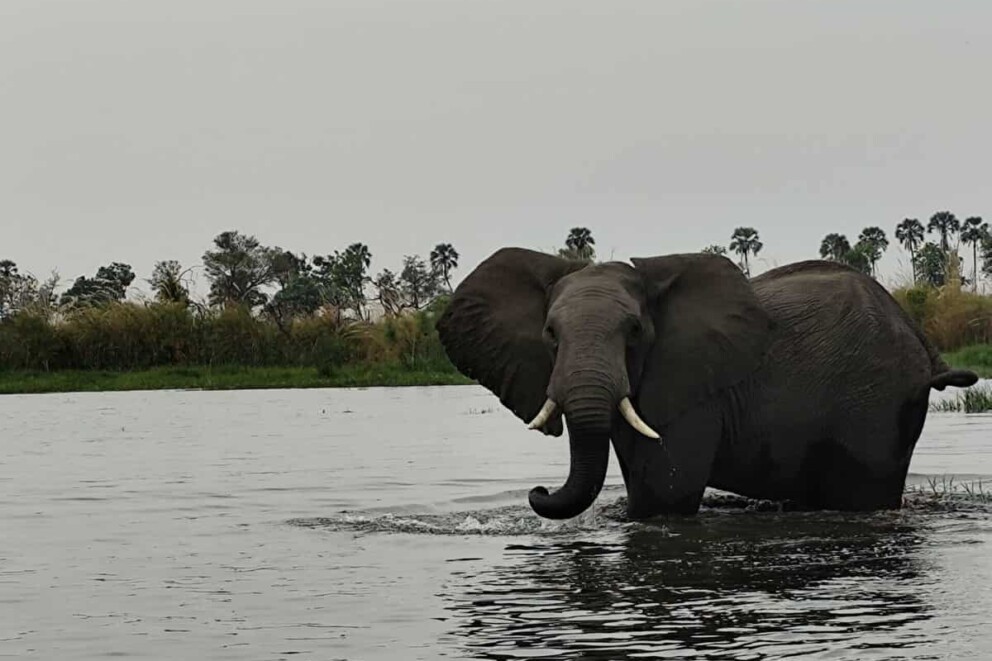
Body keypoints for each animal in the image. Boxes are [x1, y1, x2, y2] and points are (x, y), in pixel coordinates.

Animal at [436, 247, 979, 521]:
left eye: (635, 332)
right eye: (550, 335)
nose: (537, 490)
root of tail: (920, 337)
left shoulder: (692, 391)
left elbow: (664, 497)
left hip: (874, 405)